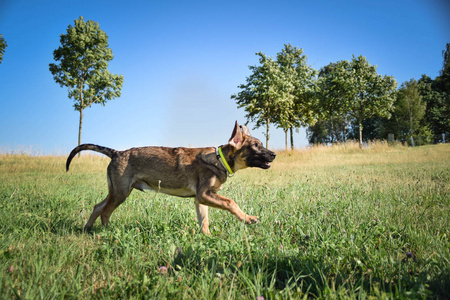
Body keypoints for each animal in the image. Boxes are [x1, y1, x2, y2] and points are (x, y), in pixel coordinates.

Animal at [66, 120, 274, 233]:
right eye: (256, 146)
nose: (274, 155)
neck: (219, 160)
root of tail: (117, 153)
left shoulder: (201, 199)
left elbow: (204, 221)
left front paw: (206, 237)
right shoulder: (205, 194)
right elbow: (231, 202)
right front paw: (247, 218)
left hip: (117, 191)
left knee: (98, 207)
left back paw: (87, 229)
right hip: (121, 193)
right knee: (106, 211)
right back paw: (107, 231)